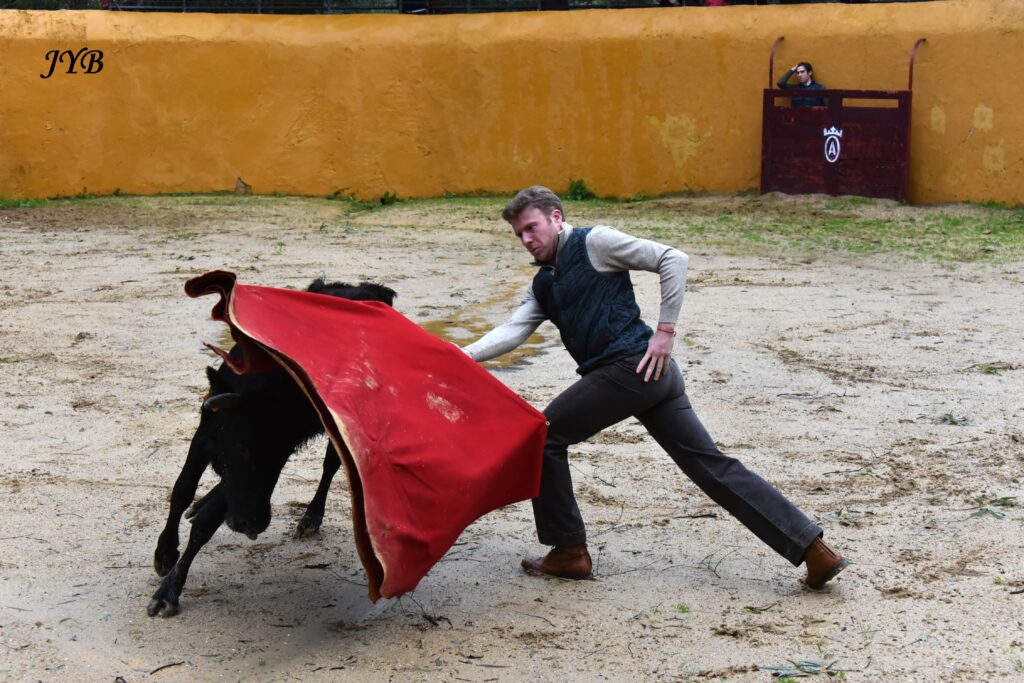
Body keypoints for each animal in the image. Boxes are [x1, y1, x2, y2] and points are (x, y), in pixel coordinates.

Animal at [148, 278, 396, 618]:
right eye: (240, 446)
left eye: (279, 454)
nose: (251, 523)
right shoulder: (204, 435)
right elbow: (182, 488)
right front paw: (164, 552)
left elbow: (208, 518)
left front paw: (169, 589)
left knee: (330, 466)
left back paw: (310, 518)